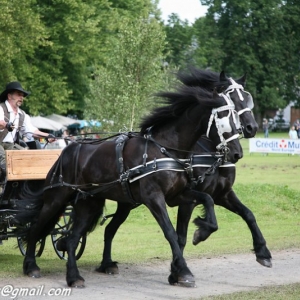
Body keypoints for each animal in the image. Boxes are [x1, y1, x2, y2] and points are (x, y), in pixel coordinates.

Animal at [22, 77, 244, 286]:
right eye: (225, 119)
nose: (237, 153)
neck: (164, 149)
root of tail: (68, 150)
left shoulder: (178, 195)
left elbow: (207, 200)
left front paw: (201, 231)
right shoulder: (154, 198)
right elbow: (170, 233)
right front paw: (183, 272)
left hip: (89, 203)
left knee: (72, 239)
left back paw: (75, 277)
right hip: (56, 199)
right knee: (36, 228)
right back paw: (31, 266)